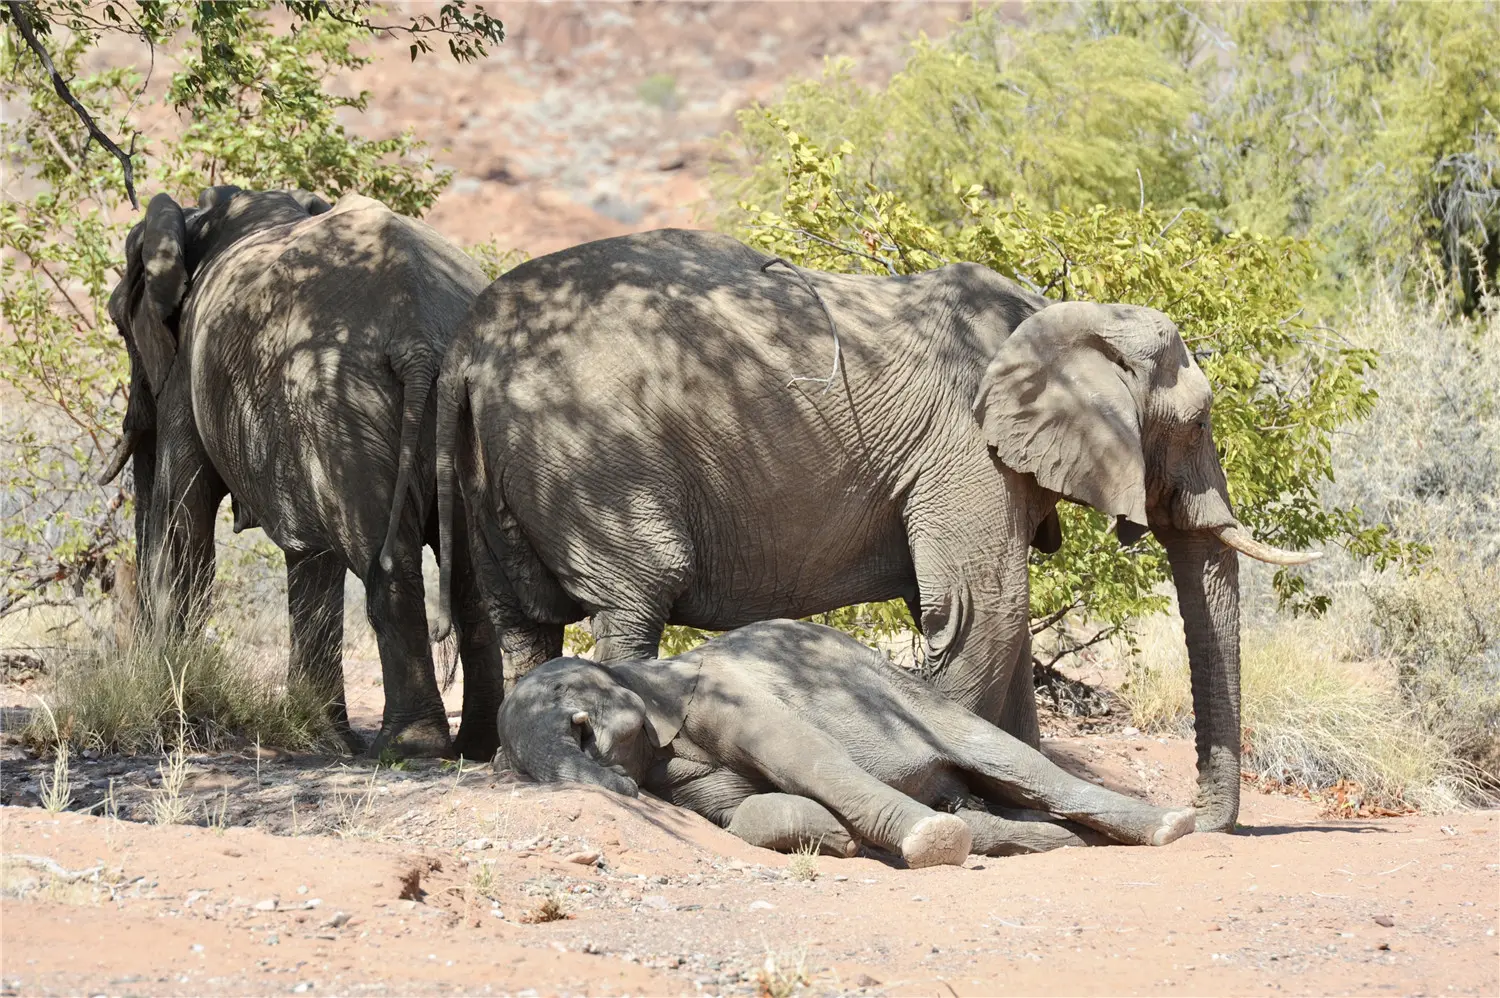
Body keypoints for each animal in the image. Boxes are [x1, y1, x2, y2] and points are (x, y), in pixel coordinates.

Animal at [107, 186, 504, 756]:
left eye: (120, 324)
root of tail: (419, 338)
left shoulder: (189, 373)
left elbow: (186, 517)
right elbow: (308, 551)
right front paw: (322, 735)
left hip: (341, 399)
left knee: (385, 559)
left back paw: (407, 748)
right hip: (460, 405)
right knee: (471, 575)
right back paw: (477, 746)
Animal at [426, 229, 1314, 828]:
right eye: (1196, 424)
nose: (1206, 818)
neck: (1051, 313)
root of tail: (469, 342)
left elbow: (988, 622)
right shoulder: (964, 446)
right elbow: (979, 613)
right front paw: (974, 805)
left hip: (499, 465)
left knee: (522, 617)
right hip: (592, 455)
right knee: (634, 596)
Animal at [501, 624, 1194, 864]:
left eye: (569, 707)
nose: (617, 785)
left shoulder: (726, 693)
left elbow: (810, 759)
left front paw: (930, 845)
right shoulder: (678, 776)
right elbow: (742, 813)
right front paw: (833, 838)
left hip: (919, 700)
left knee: (1016, 765)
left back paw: (1171, 828)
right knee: (990, 810)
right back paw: (1058, 845)